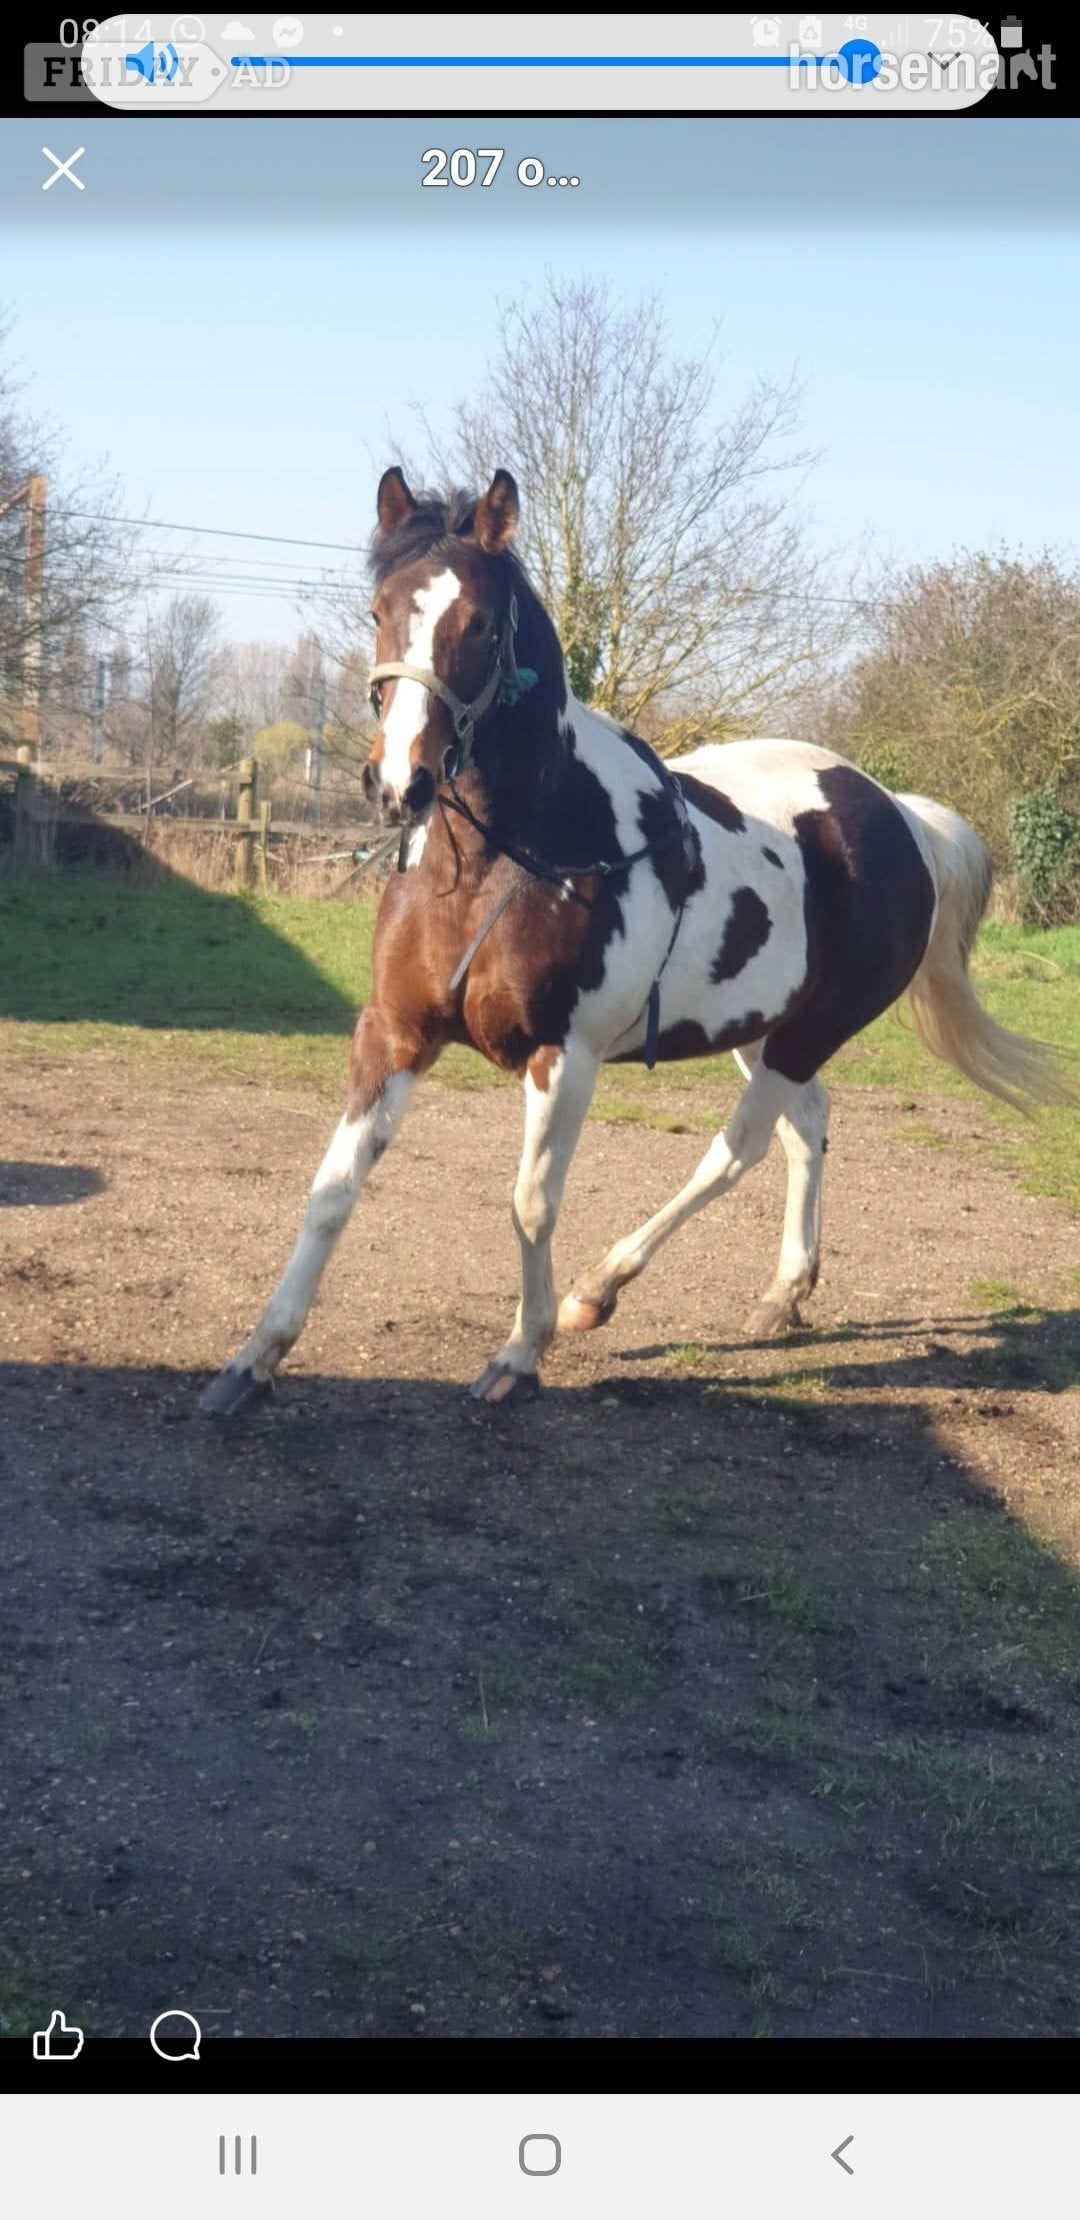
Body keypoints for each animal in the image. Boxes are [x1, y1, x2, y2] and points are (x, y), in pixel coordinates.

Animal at [199, 466, 1074, 1417]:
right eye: (378, 610)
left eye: (481, 622)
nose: (400, 783)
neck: (502, 864)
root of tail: (900, 817)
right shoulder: (393, 1033)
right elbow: (332, 1190)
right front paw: (253, 1359)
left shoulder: (564, 1056)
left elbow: (531, 1203)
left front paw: (522, 1351)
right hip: (765, 1030)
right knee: (806, 1126)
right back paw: (784, 1292)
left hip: (807, 1033)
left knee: (738, 1150)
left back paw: (599, 1289)